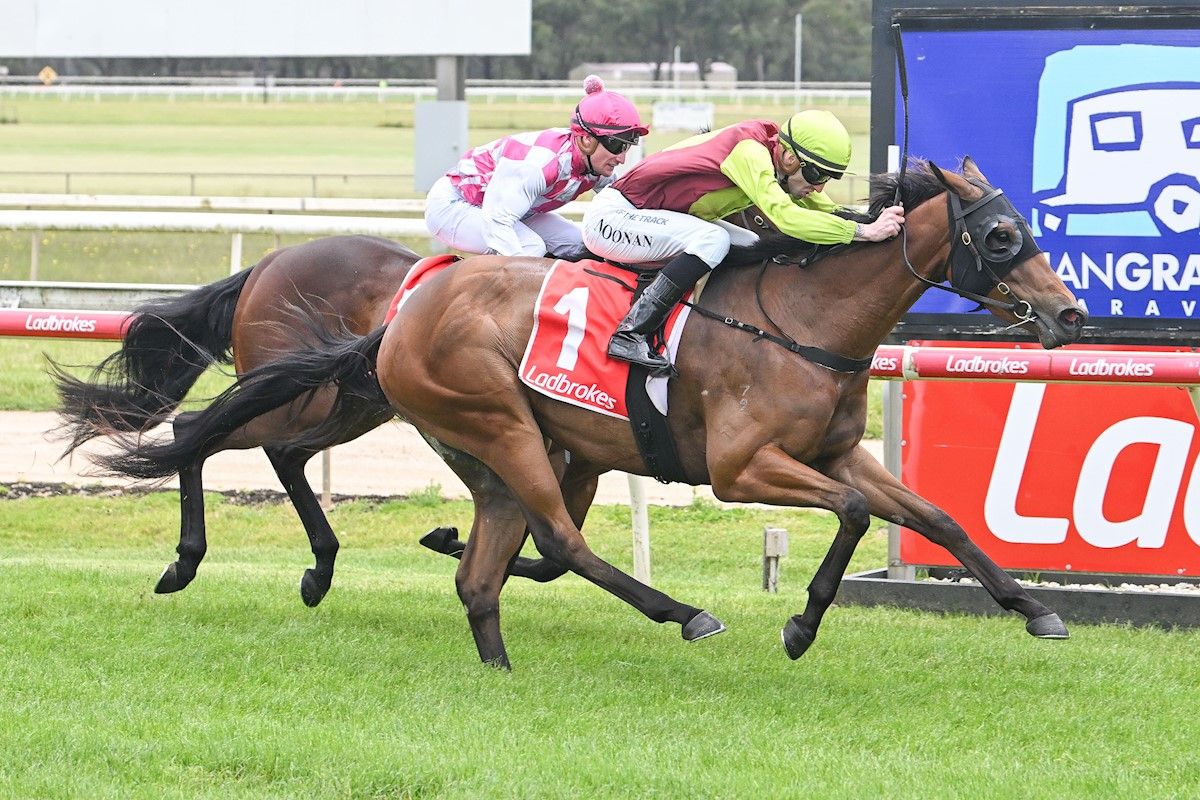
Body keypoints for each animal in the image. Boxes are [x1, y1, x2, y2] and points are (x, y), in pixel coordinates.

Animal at [93, 158, 1087, 669]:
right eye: (1002, 235)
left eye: (1033, 227)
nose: (1070, 313)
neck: (802, 321)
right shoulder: (741, 469)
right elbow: (848, 515)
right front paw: (801, 625)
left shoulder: (839, 452)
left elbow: (933, 514)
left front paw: (1033, 607)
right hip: (472, 417)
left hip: (439, 423)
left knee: (487, 549)